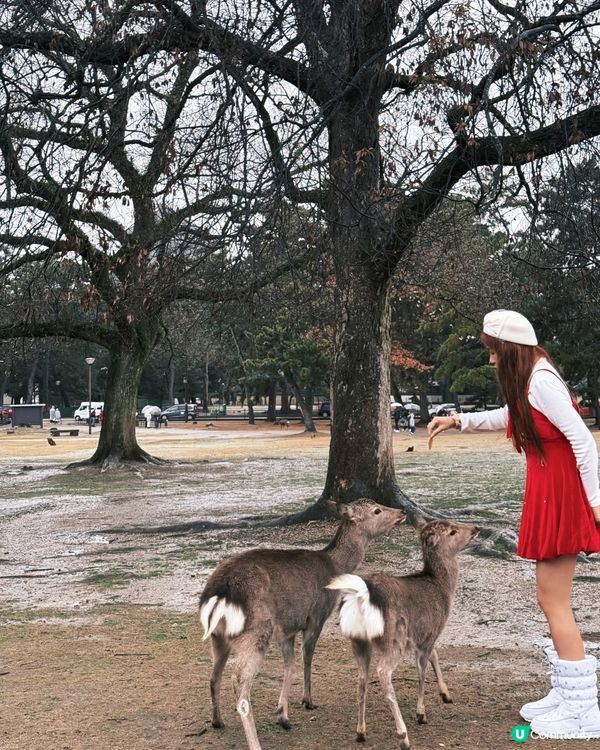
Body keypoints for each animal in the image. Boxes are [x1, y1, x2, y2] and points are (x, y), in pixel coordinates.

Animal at [199, 499, 406, 750]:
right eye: (377, 510)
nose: (402, 512)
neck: (335, 567)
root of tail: (219, 593)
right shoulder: (316, 617)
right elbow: (307, 656)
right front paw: (308, 700)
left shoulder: (287, 628)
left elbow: (289, 663)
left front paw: (283, 714)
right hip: (257, 632)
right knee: (239, 684)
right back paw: (255, 742)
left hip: (218, 637)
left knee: (213, 675)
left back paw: (217, 721)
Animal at [327, 519, 478, 750]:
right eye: (452, 531)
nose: (475, 529)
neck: (443, 588)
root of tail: (361, 596)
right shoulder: (429, 631)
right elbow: (422, 672)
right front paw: (421, 713)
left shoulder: (425, 636)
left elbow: (435, 656)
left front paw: (446, 694)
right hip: (393, 638)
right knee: (383, 673)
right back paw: (403, 735)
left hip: (358, 640)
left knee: (361, 679)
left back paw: (360, 731)